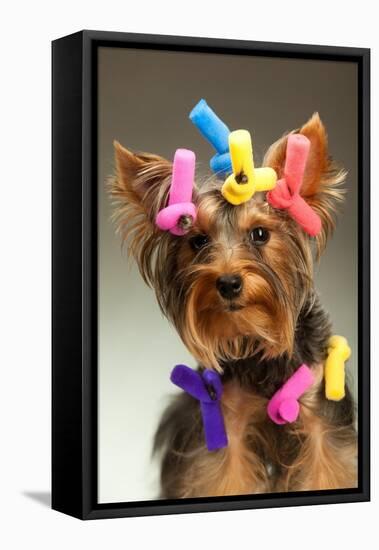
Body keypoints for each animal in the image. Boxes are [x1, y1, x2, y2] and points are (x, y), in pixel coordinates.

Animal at [110, 113, 360, 500]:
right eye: (198, 241)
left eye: (259, 234)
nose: (228, 282)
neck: (256, 337)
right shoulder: (228, 421)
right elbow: (226, 475)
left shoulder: (322, 420)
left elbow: (327, 467)